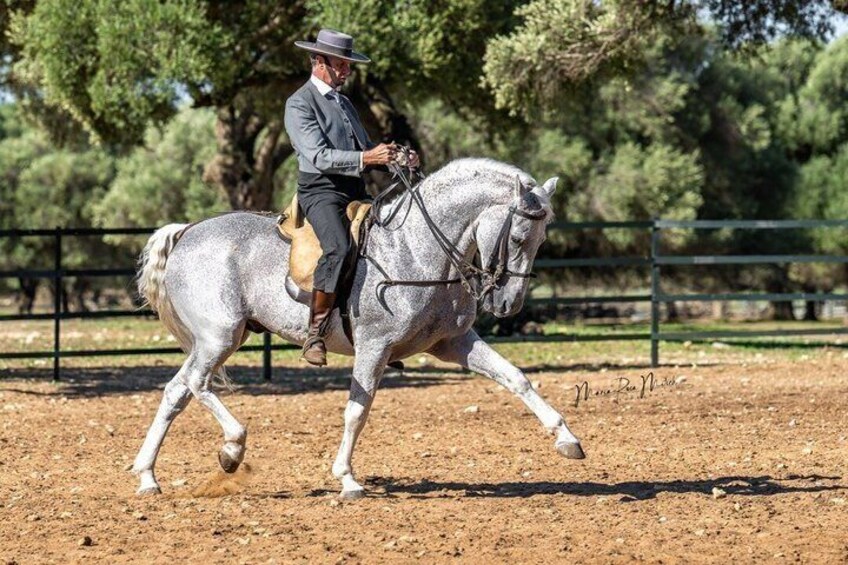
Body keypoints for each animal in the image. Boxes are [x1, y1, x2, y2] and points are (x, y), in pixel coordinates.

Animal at [131, 158, 585, 498]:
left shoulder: (454, 343)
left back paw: (148, 476)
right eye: (520, 236)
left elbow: (516, 378)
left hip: (216, 340)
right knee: (197, 385)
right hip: (220, 336)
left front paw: (566, 438)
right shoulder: (374, 347)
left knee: (176, 391)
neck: (416, 250)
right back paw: (232, 448)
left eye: (542, 239)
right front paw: (348, 479)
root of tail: (187, 232)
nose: (509, 304)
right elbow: (356, 411)